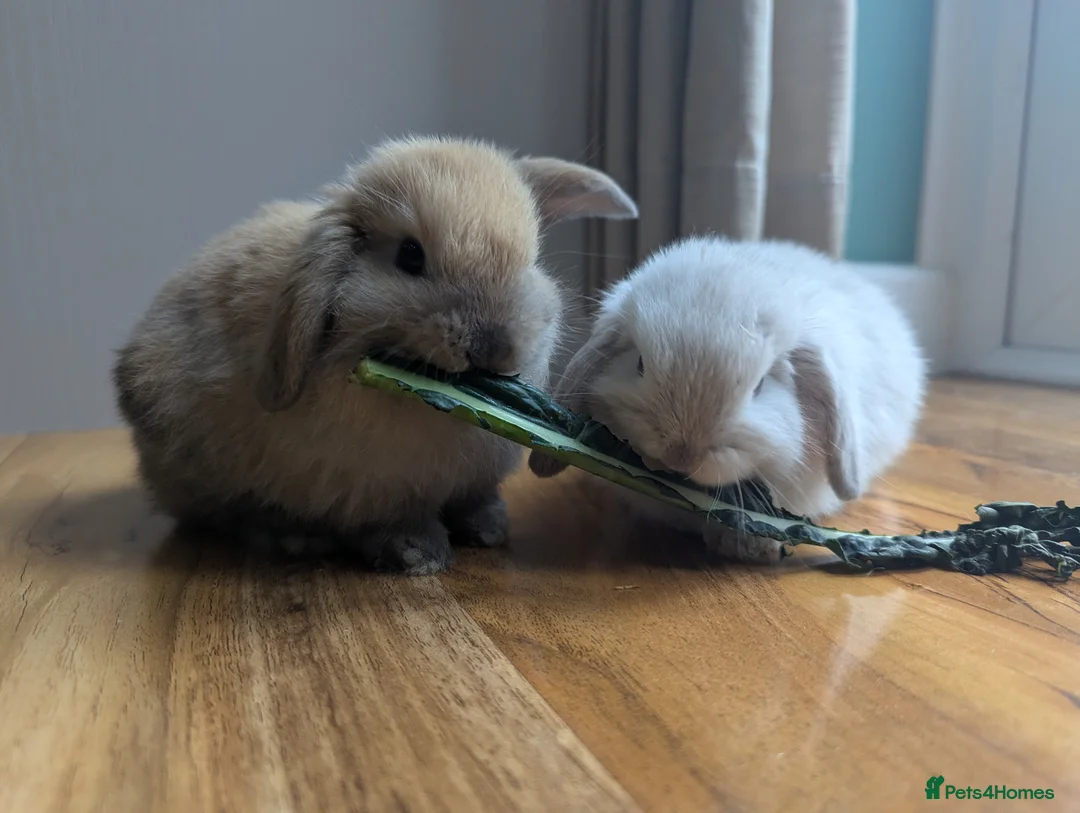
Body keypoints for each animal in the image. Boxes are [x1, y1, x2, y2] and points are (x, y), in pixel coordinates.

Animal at [113, 135, 638, 575]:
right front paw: (419, 556)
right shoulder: (371, 487)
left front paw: (488, 528)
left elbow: (473, 499)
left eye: (532, 260)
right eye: (410, 256)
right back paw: (294, 537)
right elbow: (393, 522)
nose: (492, 346)